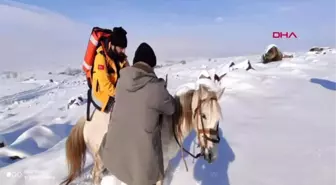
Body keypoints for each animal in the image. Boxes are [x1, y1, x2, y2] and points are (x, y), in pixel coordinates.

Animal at [61, 73, 224, 185]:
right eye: (203, 115)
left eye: (218, 119)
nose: (213, 154)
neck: (169, 126)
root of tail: (88, 119)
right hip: (98, 157)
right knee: (96, 175)